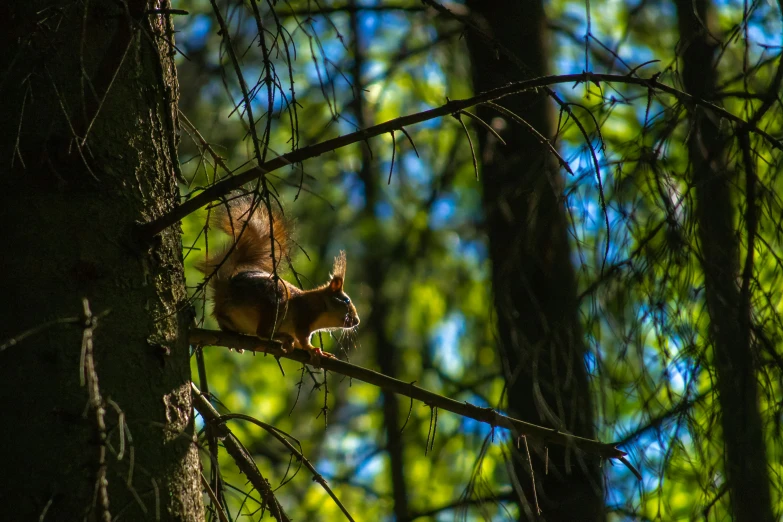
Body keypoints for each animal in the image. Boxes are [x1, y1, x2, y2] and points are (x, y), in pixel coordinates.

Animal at [201, 195, 362, 358]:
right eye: (347, 300)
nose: (357, 321)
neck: (318, 304)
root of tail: (224, 290)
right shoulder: (304, 317)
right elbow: (303, 339)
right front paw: (313, 349)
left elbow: (300, 342)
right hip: (276, 302)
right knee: (262, 333)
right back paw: (282, 337)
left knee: (223, 319)